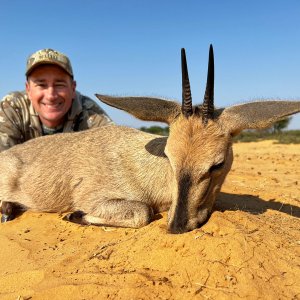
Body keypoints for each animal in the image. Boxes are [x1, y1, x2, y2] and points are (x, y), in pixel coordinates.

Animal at [0, 45, 300, 233]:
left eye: (217, 164)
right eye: (168, 156)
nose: (177, 226)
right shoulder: (95, 197)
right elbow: (142, 212)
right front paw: (75, 215)